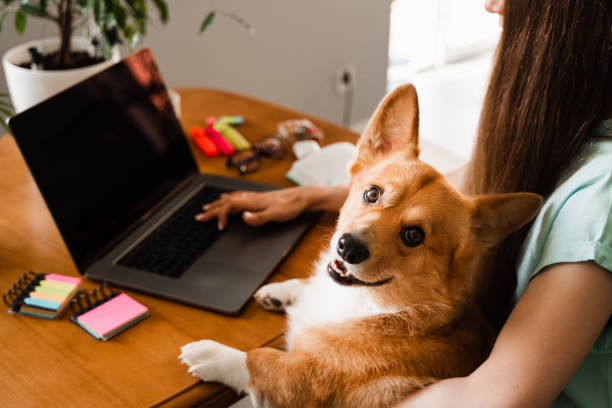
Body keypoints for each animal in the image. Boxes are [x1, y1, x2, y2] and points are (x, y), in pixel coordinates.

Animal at [179, 84, 544, 406]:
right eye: (372, 193)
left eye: (415, 235)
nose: (347, 247)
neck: (368, 301)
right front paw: (283, 291)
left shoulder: (298, 379)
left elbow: (257, 360)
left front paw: (213, 355)